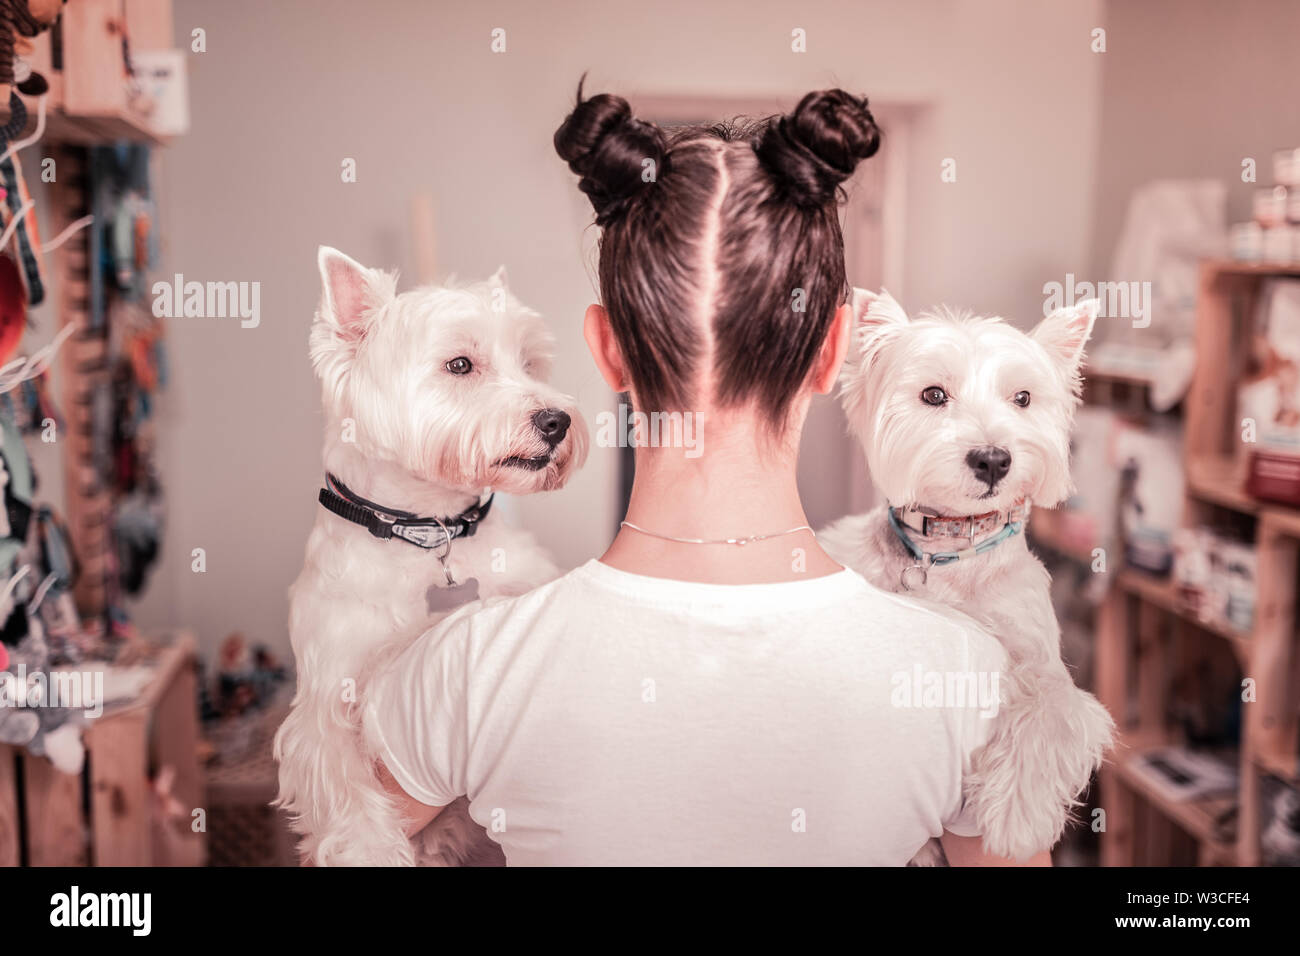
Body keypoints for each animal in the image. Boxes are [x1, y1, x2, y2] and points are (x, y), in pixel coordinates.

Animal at [274, 244, 590, 868]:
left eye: (529, 363)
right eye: (460, 365)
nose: (558, 421)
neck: (427, 529)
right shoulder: (322, 705)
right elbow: (344, 787)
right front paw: (369, 849)